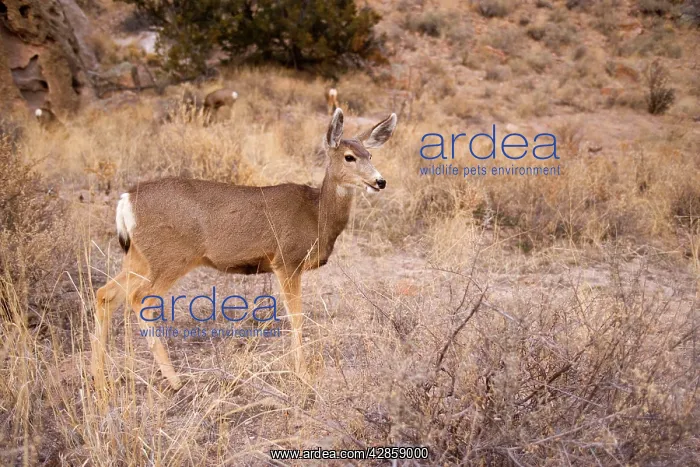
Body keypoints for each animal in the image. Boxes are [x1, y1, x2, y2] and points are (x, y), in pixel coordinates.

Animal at [91, 108, 397, 390]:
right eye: (349, 157)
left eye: (370, 155)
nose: (380, 181)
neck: (316, 214)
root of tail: (126, 199)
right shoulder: (286, 260)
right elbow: (296, 317)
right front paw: (302, 373)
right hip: (171, 256)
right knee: (141, 298)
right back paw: (175, 380)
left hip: (140, 256)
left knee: (106, 294)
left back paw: (100, 379)